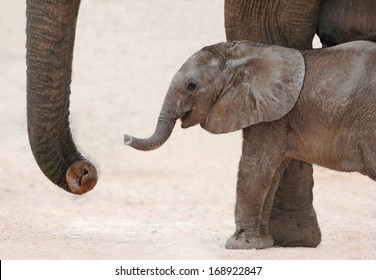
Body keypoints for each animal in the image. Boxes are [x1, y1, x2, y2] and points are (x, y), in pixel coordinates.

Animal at [124, 40, 376, 249]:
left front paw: (238, 245)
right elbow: (272, 174)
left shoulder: (271, 113)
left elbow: (256, 167)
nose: (125, 137)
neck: (246, 52)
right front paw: (262, 244)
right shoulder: (273, 111)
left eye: (191, 86)